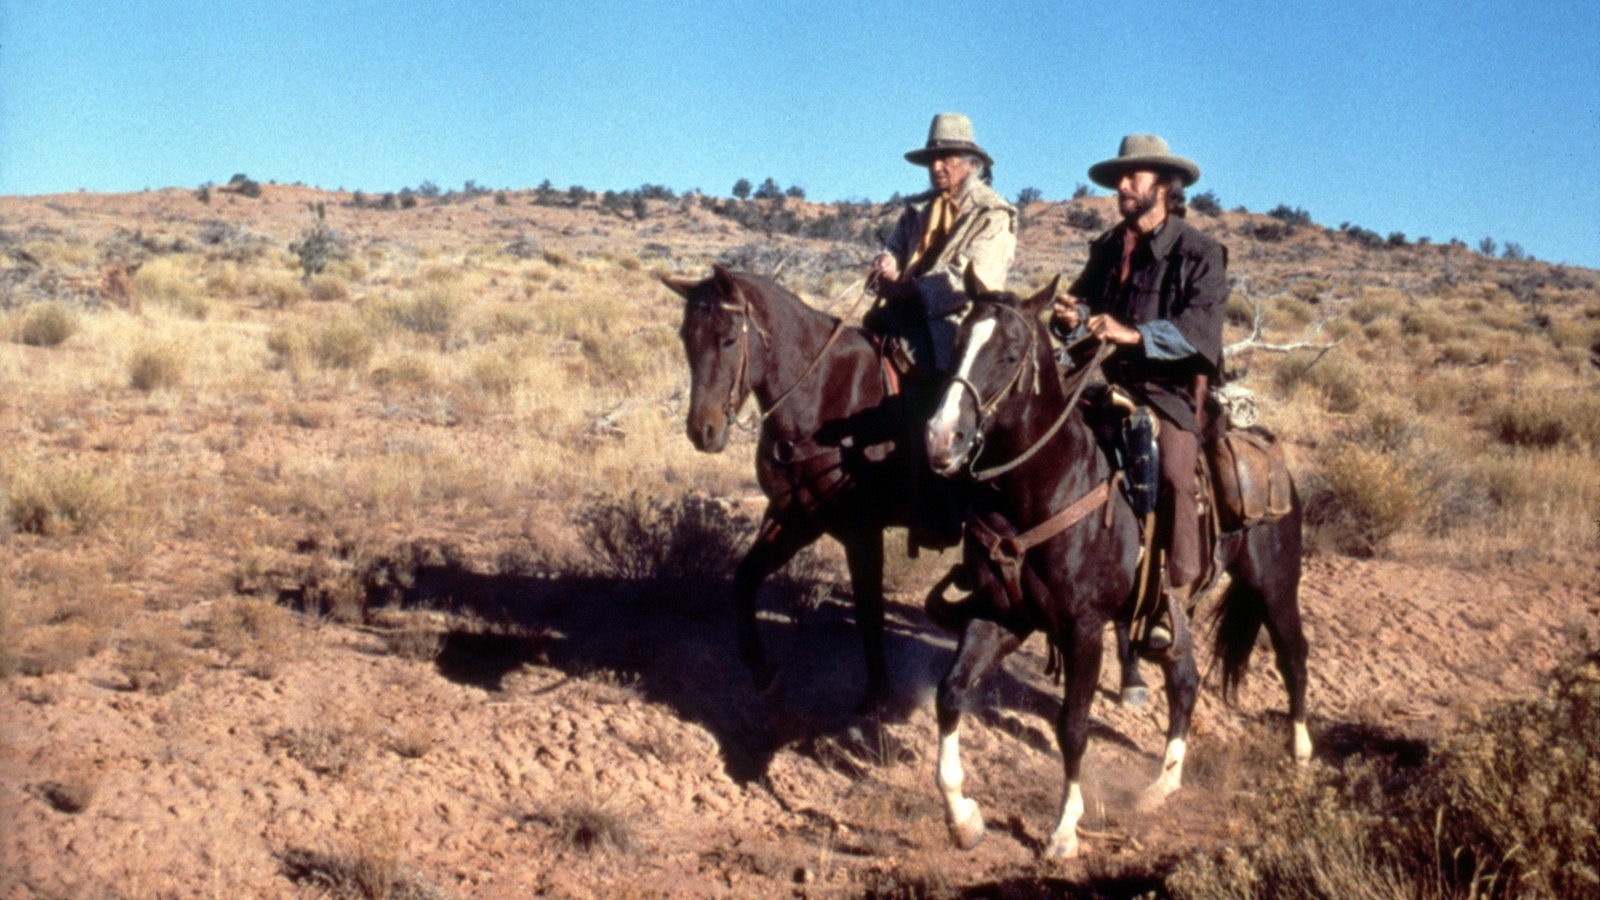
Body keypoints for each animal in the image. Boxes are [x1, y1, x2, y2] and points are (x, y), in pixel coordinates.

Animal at [662, 265, 915, 707]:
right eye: (685, 337)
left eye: (729, 339)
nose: (702, 432)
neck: (820, 399)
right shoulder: (793, 516)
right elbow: (745, 579)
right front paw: (762, 670)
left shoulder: (862, 531)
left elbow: (869, 610)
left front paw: (877, 698)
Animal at [921, 280, 1305, 851]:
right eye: (956, 343)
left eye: (1010, 354)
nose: (941, 439)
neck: (1044, 486)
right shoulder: (1000, 614)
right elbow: (950, 694)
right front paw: (962, 816)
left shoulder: (1084, 629)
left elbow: (1073, 726)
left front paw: (1064, 829)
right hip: (1176, 612)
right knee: (1185, 681)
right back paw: (1163, 785)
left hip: (1275, 586)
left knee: (1292, 656)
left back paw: (1300, 754)